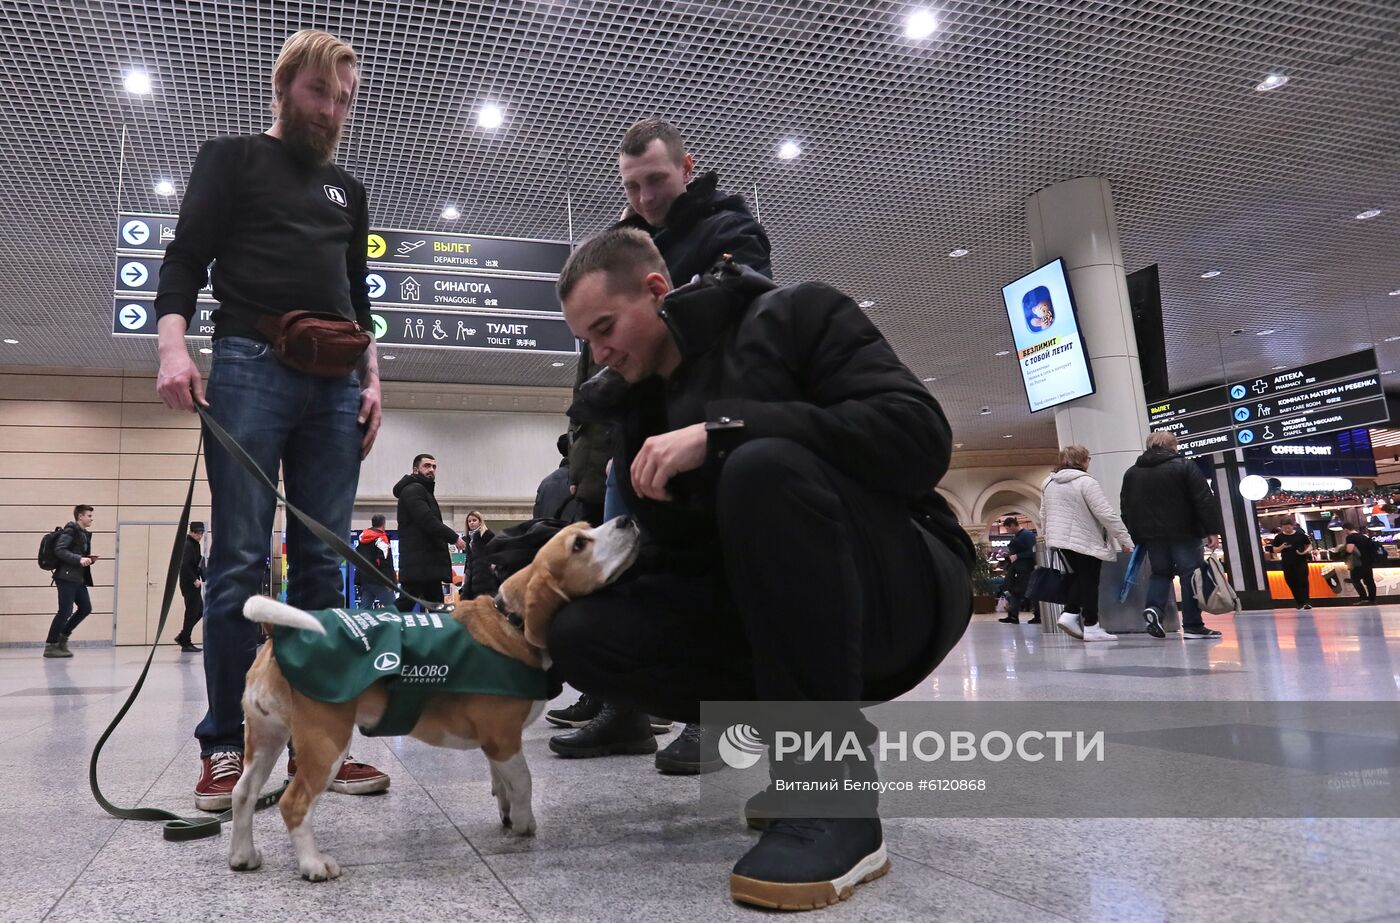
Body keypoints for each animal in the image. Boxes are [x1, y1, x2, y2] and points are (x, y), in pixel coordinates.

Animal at [228, 515, 641, 885]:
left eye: (587, 528)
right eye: (579, 544)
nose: (627, 519)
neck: (511, 621)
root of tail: (279, 636)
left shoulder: (495, 746)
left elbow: (503, 782)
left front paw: (508, 814)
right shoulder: (505, 739)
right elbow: (523, 782)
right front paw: (525, 824)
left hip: (267, 739)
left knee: (243, 793)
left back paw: (242, 855)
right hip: (325, 743)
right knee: (293, 802)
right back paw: (312, 864)